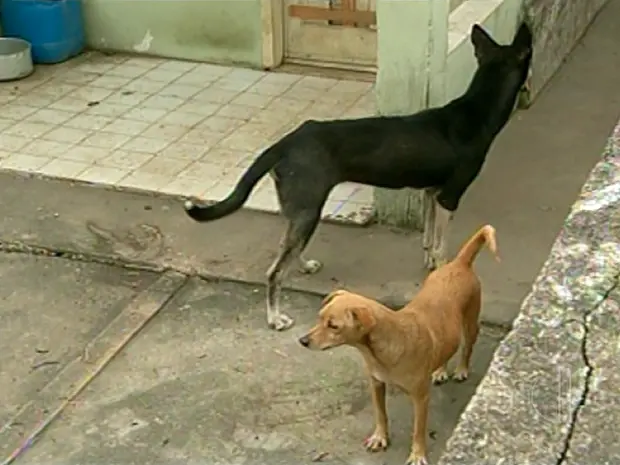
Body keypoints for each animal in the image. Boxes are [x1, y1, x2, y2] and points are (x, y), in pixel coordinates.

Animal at [183, 21, 532, 330]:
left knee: (287, 249)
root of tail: (285, 142)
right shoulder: (450, 195)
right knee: (275, 272)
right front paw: (443, 266)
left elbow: (430, 237)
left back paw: (303, 265)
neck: (477, 111)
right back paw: (275, 317)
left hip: (300, 210)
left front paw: (430, 262)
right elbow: (441, 244)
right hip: (309, 209)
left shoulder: (432, 192)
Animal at [300, 224, 498, 460]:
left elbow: (418, 430)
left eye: (333, 326)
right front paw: (380, 437)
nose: (303, 340)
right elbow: (381, 414)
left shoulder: (421, 398)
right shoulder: (376, 384)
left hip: (470, 323)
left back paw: (461, 369)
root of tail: (459, 263)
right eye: (320, 317)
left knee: (467, 347)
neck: (382, 350)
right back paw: (440, 370)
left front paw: (417, 455)